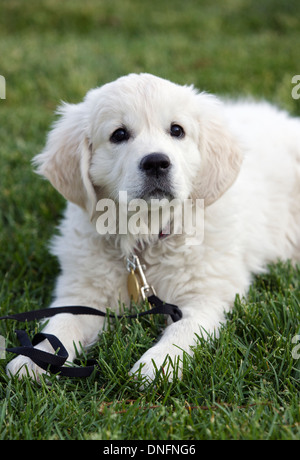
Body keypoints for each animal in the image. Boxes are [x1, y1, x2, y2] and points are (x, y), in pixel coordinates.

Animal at [6, 73, 300, 380]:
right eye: (119, 134)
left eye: (177, 130)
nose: (157, 162)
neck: (145, 232)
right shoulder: (83, 291)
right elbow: (61, 323)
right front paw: (34, 358)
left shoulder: (205, 293)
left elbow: (184, 329)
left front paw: (157, 364)